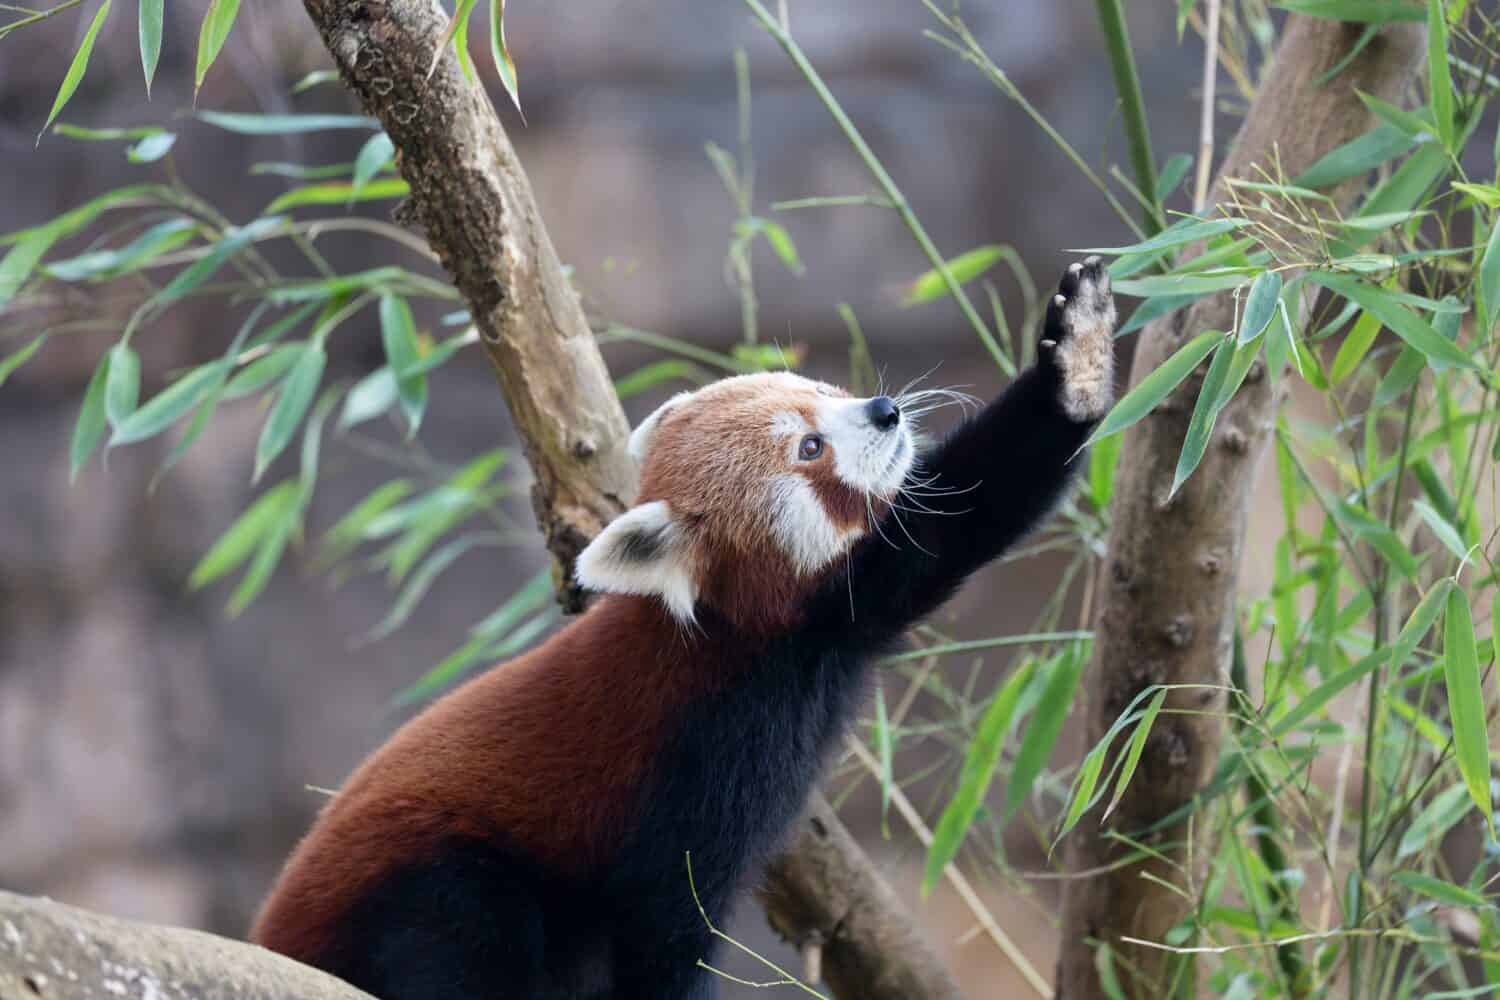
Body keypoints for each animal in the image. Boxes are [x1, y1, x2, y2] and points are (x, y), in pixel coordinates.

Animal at [252, 259, 1117, 999]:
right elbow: (665, 924)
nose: (885, 409)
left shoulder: (841, 624)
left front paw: (1078, 362)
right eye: (809, 447)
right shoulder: (696, 752)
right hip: (421, 874)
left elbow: (963, 512)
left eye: (817, 387)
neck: (745, 638)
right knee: (457, 931)